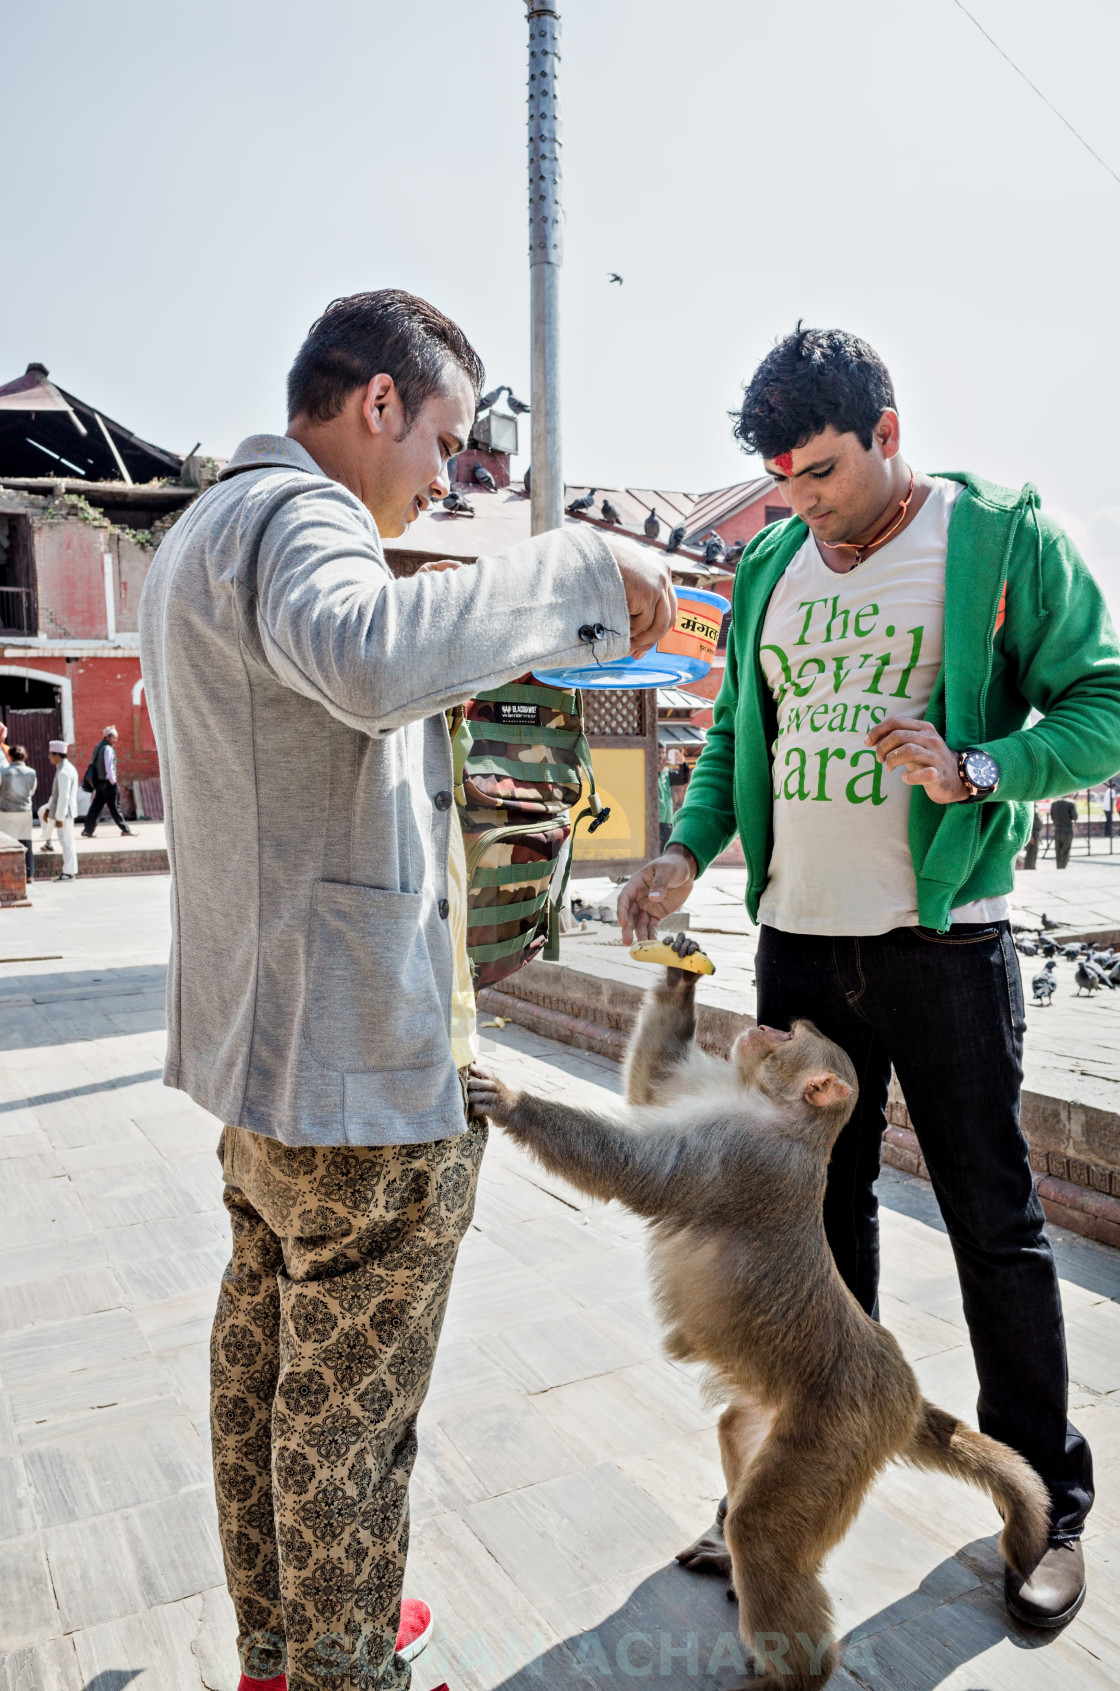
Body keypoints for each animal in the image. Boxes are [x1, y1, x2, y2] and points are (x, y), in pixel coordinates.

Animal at [470, 946, 1055, 1684]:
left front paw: (510, 1100)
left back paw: (796, 1670)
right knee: (736, 1430)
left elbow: (640, 1170)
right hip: (783, 1409)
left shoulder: (739, 1156)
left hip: (838, 1432)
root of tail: (902, 1387)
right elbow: (653, 1085)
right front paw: (678, 973)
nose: (767, 1023)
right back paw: (730, 1548)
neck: (785, 1120)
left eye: (792, 1034)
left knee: (765, 1534)